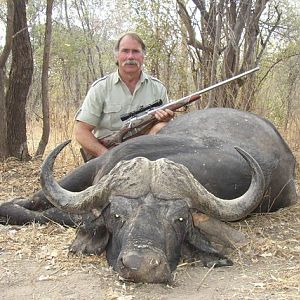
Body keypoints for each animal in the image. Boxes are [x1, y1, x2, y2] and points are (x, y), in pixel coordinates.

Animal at [0, 108, 296, 284]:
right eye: (117, 216)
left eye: (179, 219)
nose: (141, 265)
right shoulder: (100, 164)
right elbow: (39, 201)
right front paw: (11, 204)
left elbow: (57, 213)